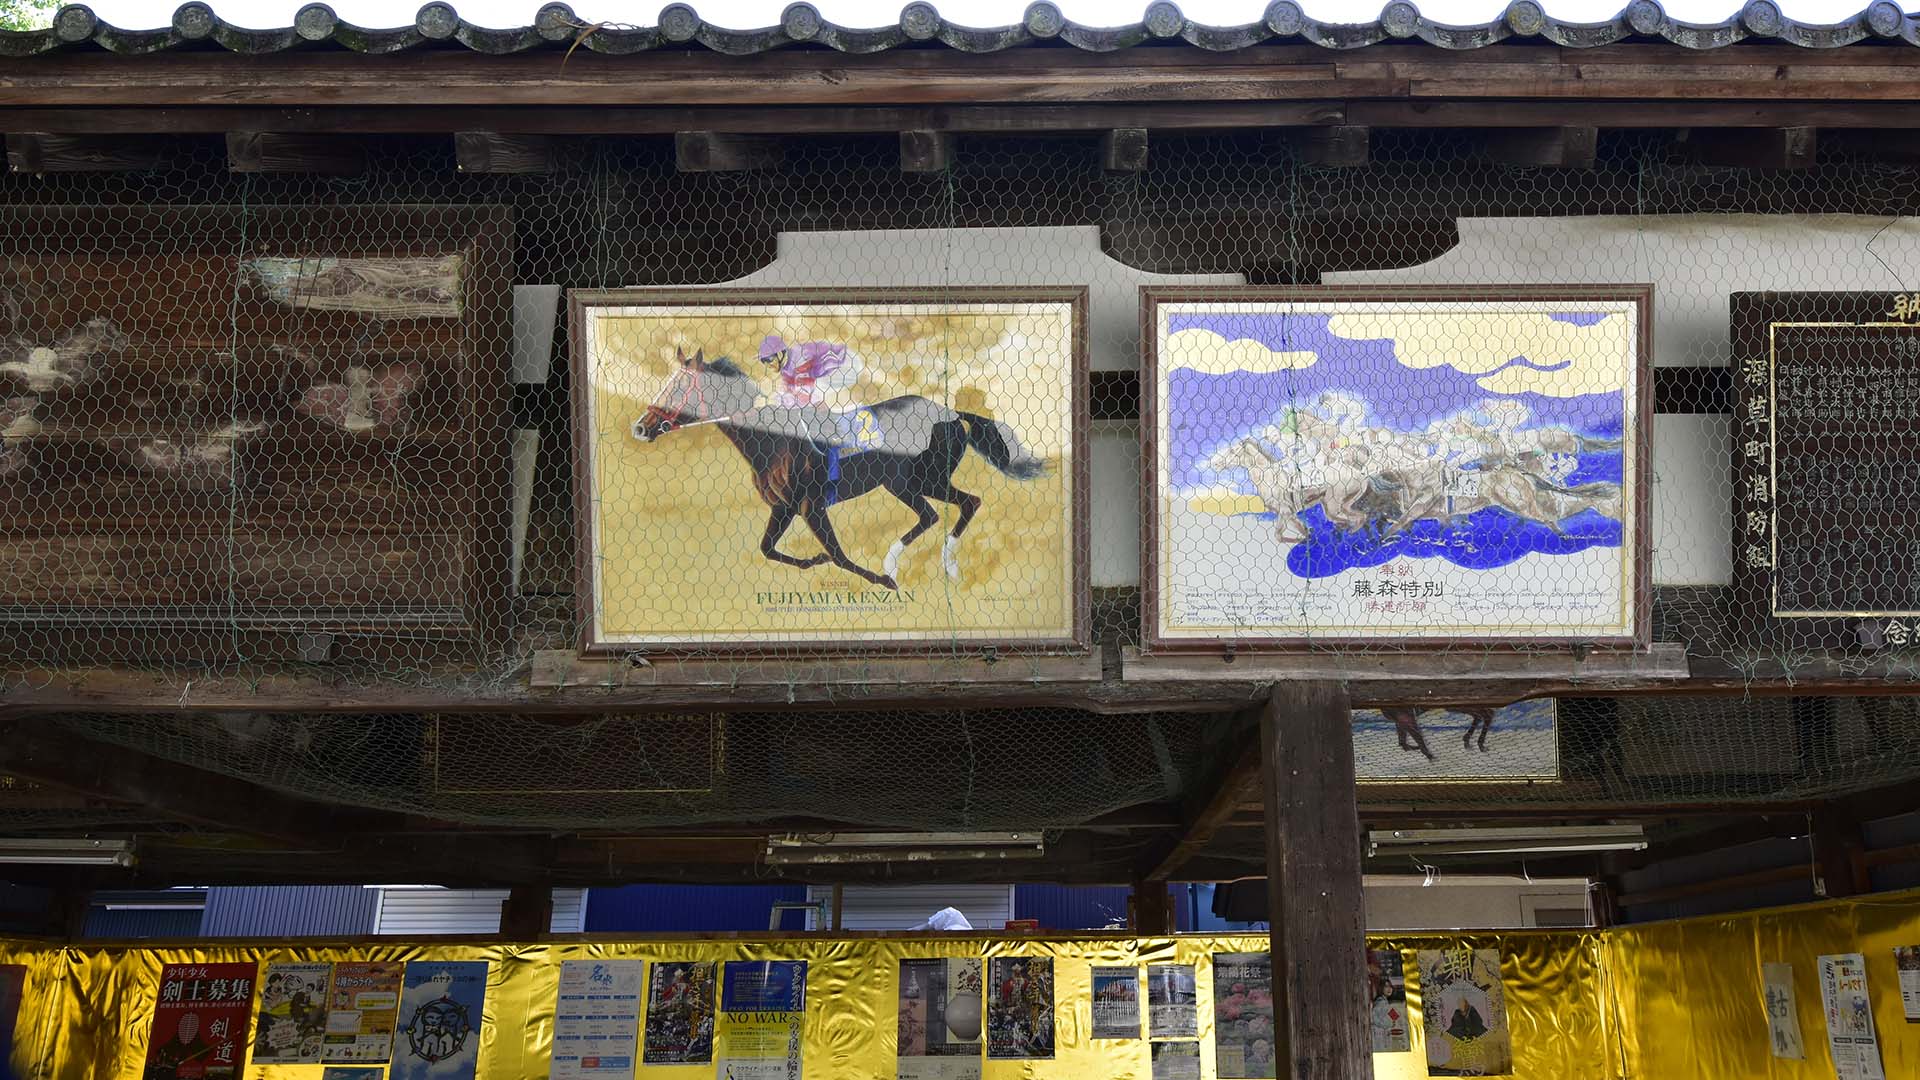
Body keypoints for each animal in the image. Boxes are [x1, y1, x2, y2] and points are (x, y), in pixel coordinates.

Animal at [637, 349, 1044, 588]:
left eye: (679, 387)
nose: (640, 427)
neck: (771, 441)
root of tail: (950, 413)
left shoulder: (810, 506)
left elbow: (839, 555)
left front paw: (881, 581)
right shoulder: (783, 507)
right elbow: (768, 548)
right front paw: (814, 560)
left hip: (917, 480)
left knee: (950, 509)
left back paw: (902, 566)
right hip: (914, 483)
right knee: (954, 507)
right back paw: (937, 566)